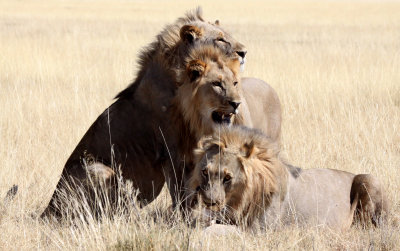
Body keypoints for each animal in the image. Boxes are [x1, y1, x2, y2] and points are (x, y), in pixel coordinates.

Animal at [38, 8, 282, 219]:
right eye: (220, 39)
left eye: (229, 35)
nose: (244, 53)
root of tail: (47, 208)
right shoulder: (173, 150)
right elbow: (183, 191)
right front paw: (185, 219)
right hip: (99, 169)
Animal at [189, 126, 390, 230]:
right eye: (205, 172)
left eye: (227, 178)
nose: (209, 201)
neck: (239, 200)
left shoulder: (261, 229)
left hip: (368, 179)